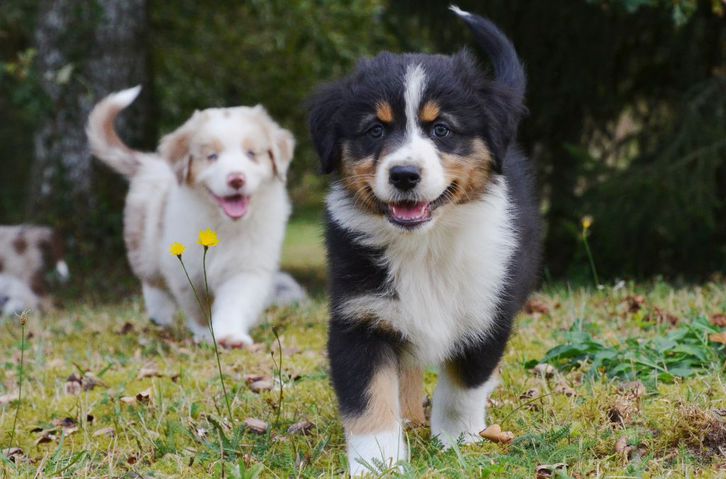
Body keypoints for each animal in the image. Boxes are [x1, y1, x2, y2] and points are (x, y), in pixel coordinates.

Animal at [87, 87, 296, 348]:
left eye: (251, 154)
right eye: (212, 156)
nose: (236, 179)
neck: (222, 223)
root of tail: (149, 162)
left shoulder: (248, 268)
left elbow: (235, 302)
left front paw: (229, 336)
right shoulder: (184, 270)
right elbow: (198, 306)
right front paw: (206, 334)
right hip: (143, 246)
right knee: (152, 283)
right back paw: (161, 317)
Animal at [308, 6, 540, 476]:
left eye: (442, 130)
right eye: (375, 131)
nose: (404, 175)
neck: (425, 245)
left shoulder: (488, 310)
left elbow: (463, 386)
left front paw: (457, 440)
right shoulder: (361, 317)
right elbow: (370, 398)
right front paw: (378, 461)